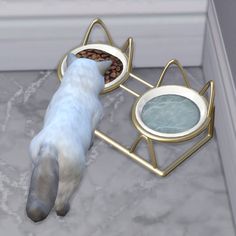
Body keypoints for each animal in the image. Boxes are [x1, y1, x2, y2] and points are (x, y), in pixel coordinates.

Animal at [26, 54, 111, 222]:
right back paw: (64, 211)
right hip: (71, 178)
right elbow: (92, 134)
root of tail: (49, 146)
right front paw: (91, 144)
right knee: (60, 200)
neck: (77, 84)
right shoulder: (96, 119)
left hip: (35, 163)